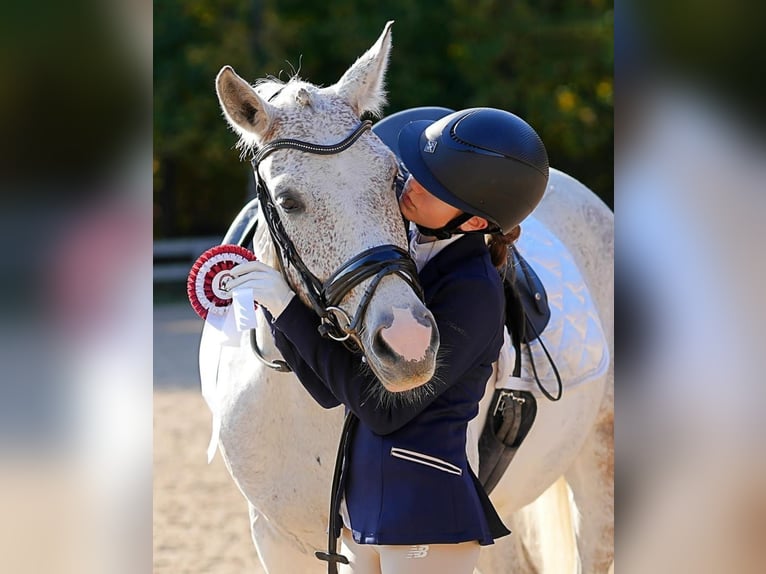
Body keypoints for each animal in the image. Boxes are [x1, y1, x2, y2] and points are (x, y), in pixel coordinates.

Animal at [202, 20, 612, 572]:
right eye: (288, 200)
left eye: (393, 179)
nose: (409, 345)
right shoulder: (272, 537)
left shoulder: (366, 547)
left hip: (597, 461)